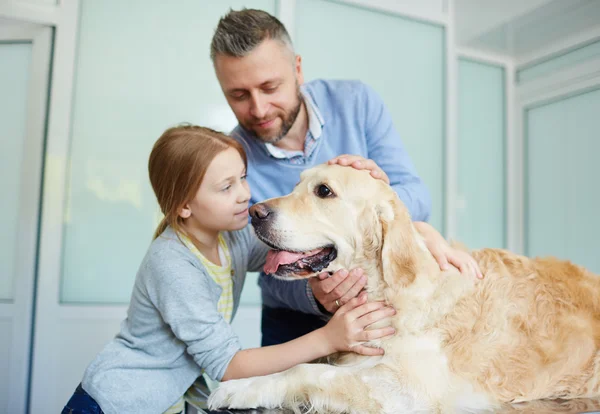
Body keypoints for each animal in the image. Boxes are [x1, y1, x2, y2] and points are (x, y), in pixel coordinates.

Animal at [209, 163, 600, 412]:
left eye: (324, 191)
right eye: (295, 185)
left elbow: (304, 369)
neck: (391, 291)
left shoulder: (411, 391)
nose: (255, 212)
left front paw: (235, 389)